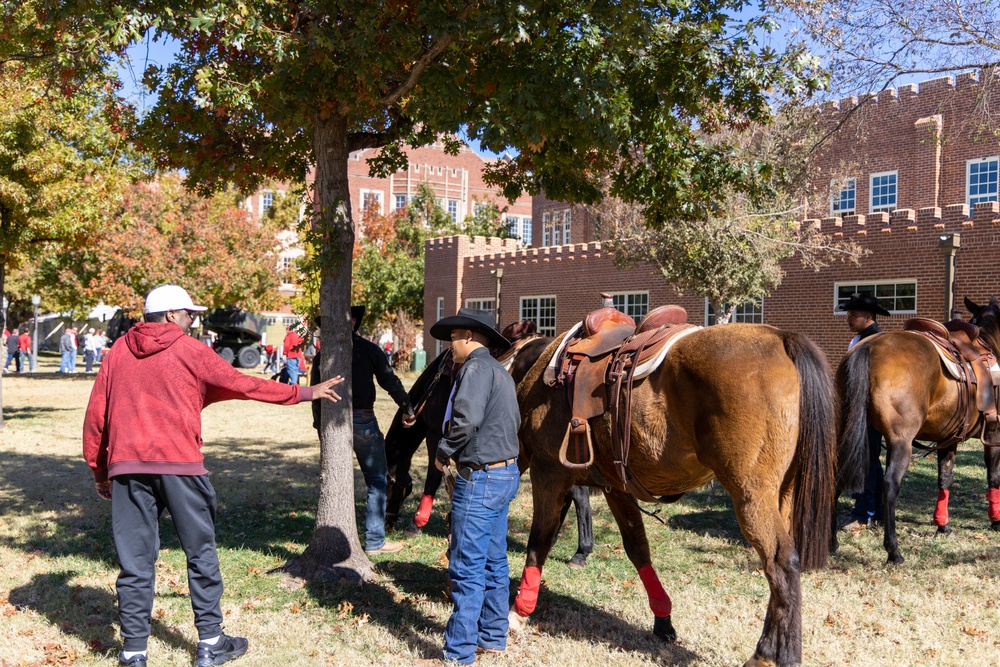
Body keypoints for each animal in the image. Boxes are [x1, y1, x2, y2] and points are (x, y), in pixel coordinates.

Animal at [512, 302, 840, 667]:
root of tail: (781, 337)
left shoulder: (548, 473)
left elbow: (539, 542)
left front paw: (518, 612)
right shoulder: (616, 486)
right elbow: (637, 548)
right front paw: (663, 619)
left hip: (751, 497)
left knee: (781, 563)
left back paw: (769, 653)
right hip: (783, 495)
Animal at [836, 298, 1000, 564]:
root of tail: (867, 347)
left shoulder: (948, 440)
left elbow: (945, 479)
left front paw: (943, 525)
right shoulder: (994, 434)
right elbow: (993, 477)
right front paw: (996, 521)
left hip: (856, 435)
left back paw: (832, 543)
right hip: (901, 441)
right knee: (890, 484)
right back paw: (893, 551)